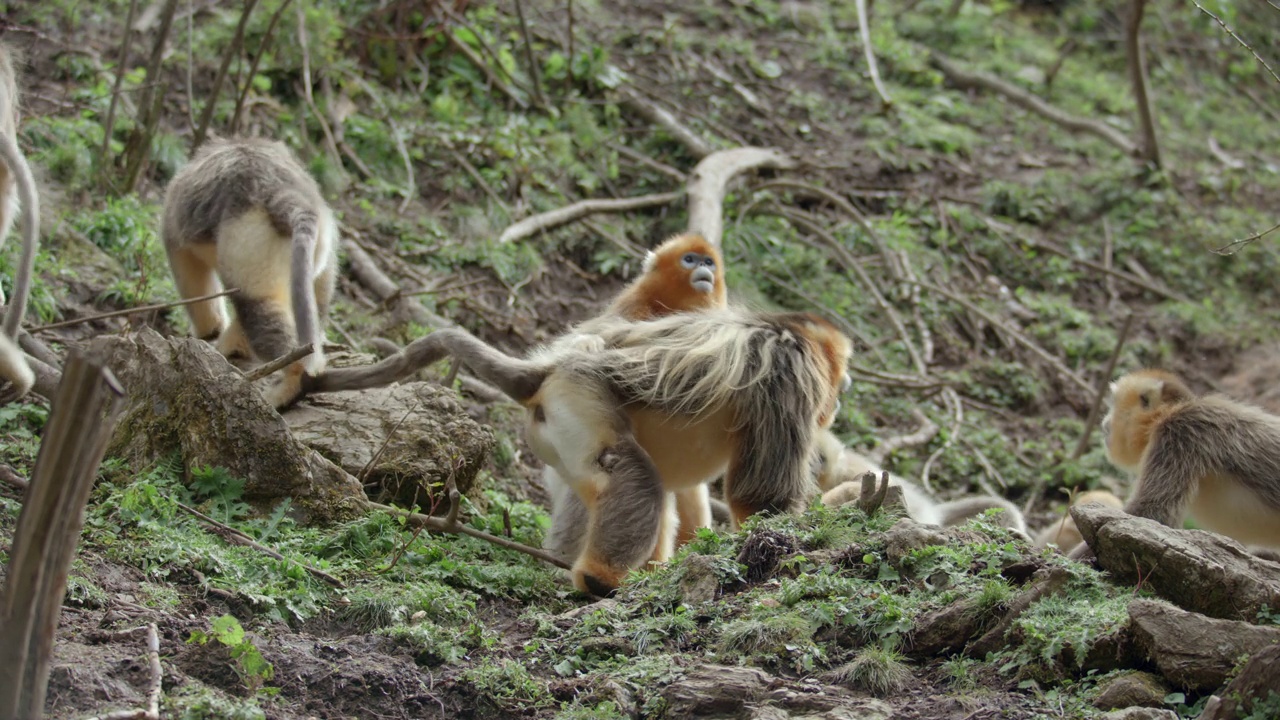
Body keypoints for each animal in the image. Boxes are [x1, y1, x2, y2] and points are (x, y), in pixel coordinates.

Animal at [160, 137, 337, 407]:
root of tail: (283, 193)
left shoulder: (174, 236)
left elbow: (193, 283)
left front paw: (209, 332)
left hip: (247, 244)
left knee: (257, 308)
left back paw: (287, 386)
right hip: (320, 254)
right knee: (312, 303)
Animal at [304, 304, 855, 591]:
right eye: (839, 372)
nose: (843, 390)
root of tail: (545, 373)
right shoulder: (788, 369)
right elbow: (758, 498)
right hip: (579, 397)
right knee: (632, 473)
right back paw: (598, 580)